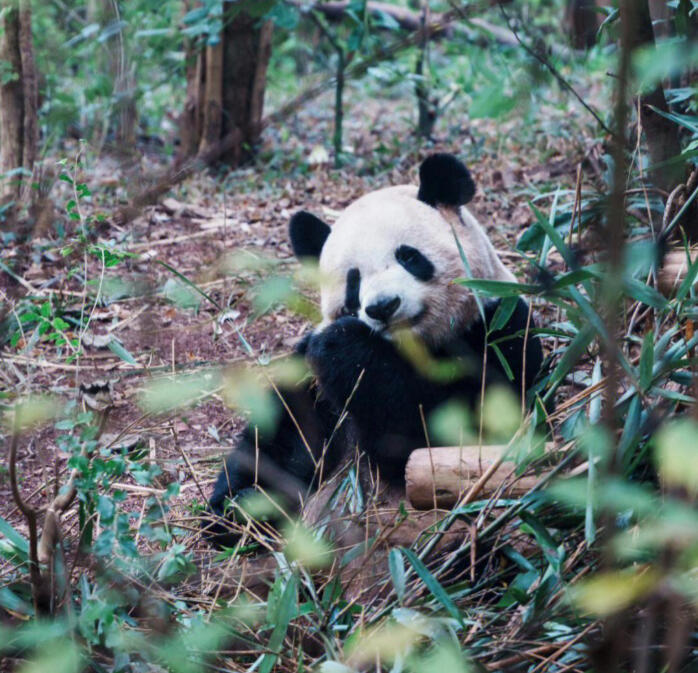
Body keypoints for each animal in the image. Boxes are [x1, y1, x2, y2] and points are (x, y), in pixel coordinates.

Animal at [204, 153, 544, 548]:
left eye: (409, 257)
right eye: (354, 281)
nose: (383, 306)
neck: (410, 347)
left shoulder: (499, 326)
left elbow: (448, 434)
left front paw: (345, 348)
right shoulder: (306, 374)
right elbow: (283, 436)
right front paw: (240, 507)